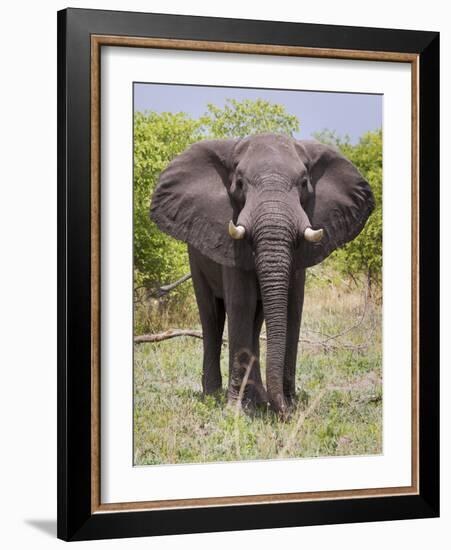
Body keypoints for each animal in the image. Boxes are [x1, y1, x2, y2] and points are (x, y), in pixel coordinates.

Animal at [151, 134, 374, 418]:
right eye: (240, 184)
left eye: (304, 183)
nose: (285, 413)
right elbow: (241, 304)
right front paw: (236, 411)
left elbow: (292, 306)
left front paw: (285, 404)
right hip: (195, 256)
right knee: (211, 316)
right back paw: (213, 396)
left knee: (256, 320)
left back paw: (257, 398)